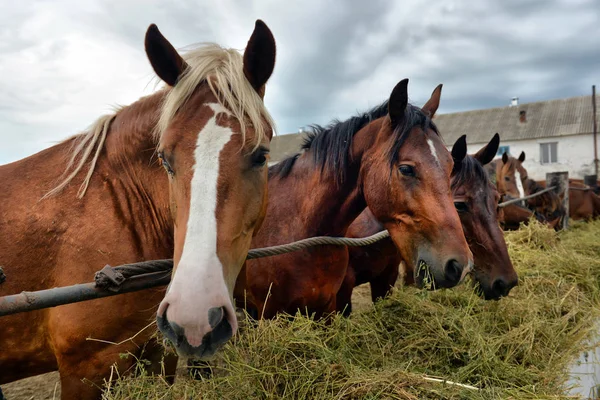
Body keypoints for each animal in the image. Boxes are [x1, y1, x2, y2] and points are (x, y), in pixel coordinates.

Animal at [0, 20, 276, 398]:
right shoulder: (83, 370)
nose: (195, 319)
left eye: (261, 155)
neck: (117, 204)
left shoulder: (158, 352)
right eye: (165, 159)